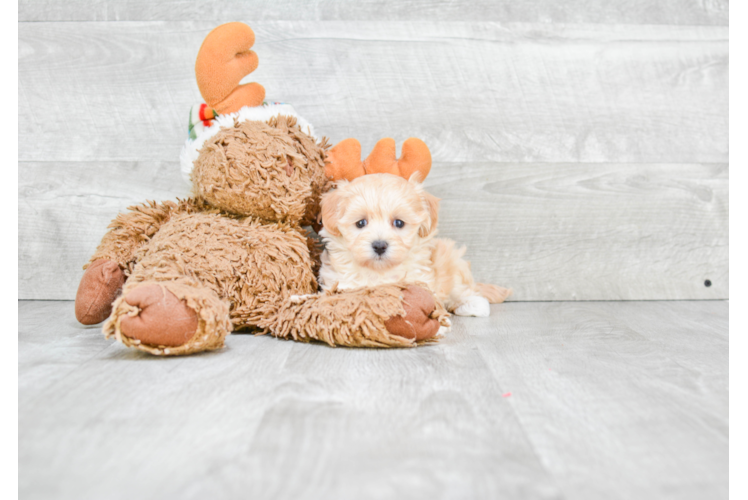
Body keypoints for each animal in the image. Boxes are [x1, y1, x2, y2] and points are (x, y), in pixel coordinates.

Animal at [318, 173, 512, 316]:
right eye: (360, 223)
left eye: (399, 223)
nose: (379, 246)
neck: (380, 272)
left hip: (452, 262)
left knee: (464, 290)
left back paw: (472, 305)